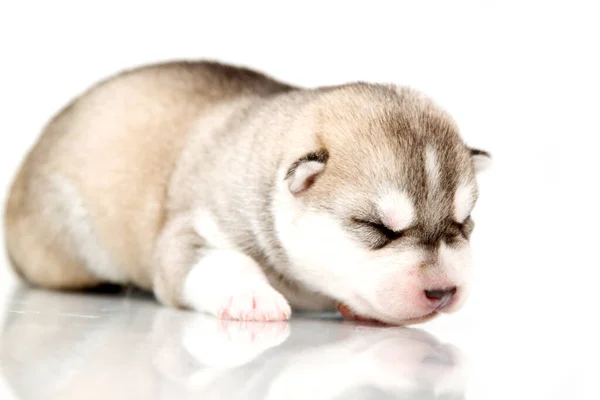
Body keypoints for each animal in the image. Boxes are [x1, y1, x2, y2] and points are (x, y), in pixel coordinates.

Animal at [4, 60, 490, 324]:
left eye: (463, 223)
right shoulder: (189, 231)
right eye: (376, 227)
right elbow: (220, 260)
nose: (443, 292)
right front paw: (249, 295)